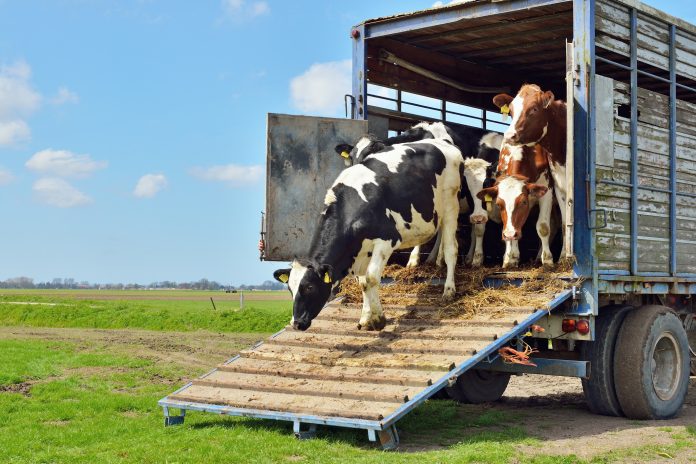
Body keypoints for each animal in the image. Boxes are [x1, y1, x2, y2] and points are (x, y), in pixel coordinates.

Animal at [274, 138, 464, 331]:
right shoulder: (361, 250)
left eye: (310, 287)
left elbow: (371, 279)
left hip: (451, 204)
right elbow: (363, 282)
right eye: (290, 289)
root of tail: (441, 141)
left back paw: (449, 290)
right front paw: (366, 317)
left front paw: (378, 319)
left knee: (451, 249)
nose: (296, 323)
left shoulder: (386, 239)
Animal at [492, 84, 569, 259]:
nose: (509, 135)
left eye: (534, 109)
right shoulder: (559, 186)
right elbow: (564, 223)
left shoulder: (548, 188)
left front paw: (549, 259)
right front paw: (510, 257)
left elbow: (543, 226)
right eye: (511, 111)